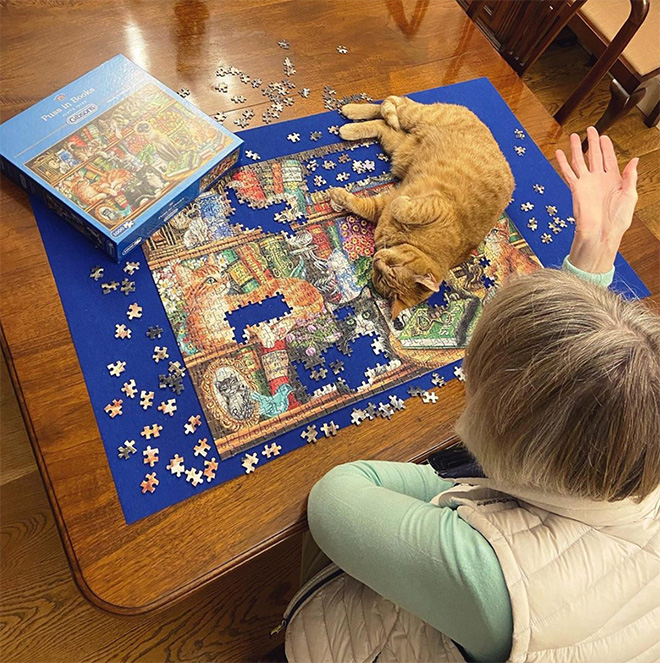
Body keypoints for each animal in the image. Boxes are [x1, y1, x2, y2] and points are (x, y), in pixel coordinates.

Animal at [328, 94, 516, 320]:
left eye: (384, 274)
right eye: (393, 265)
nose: (377, 259)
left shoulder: (382, 207)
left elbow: (365, 205)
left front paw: (339, 196)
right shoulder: (437, 205)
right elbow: (403, 207)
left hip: (399, 146)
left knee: (383, 123)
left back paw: (350, 126)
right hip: (417, 117)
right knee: (393, 104)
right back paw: (352, 112)